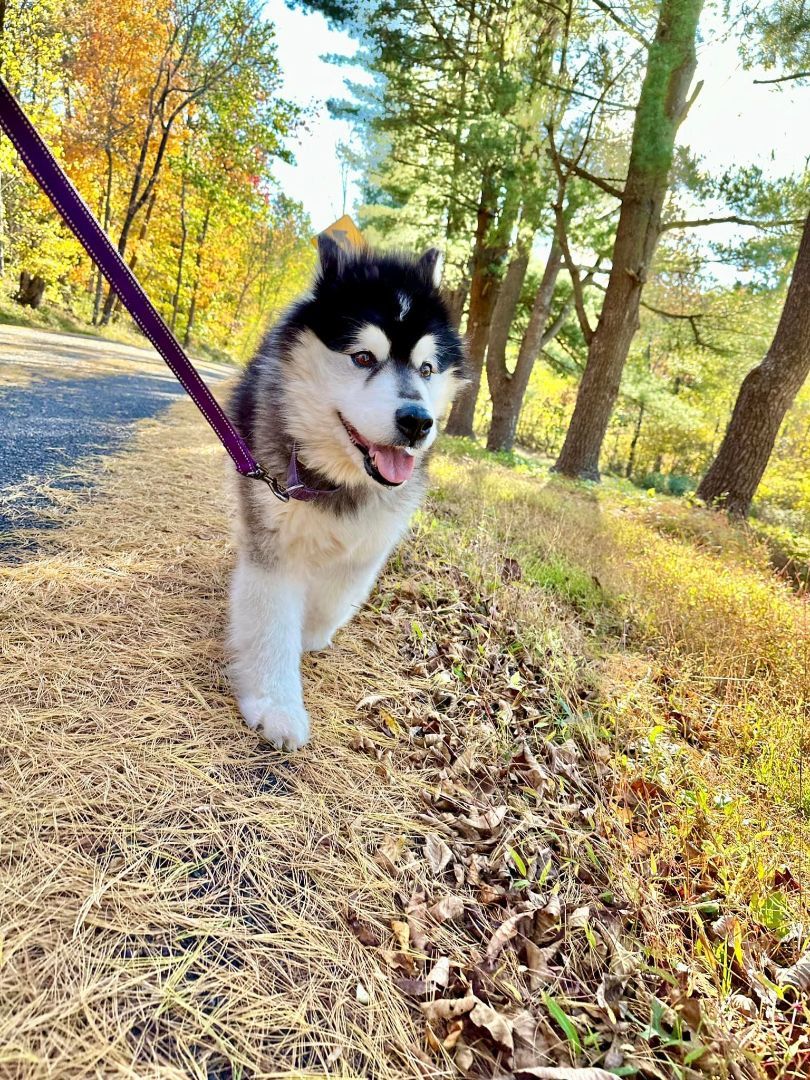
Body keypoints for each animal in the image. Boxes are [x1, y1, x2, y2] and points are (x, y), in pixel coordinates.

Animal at [228, 236, 468, 747]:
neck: (341, 481)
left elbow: (335, 597)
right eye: (362, 357)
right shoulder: (274, 540)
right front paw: (277, 705)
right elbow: (272, 622)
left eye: (427, 368)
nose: (418, 422)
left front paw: (312, 634)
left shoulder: (373, 540)